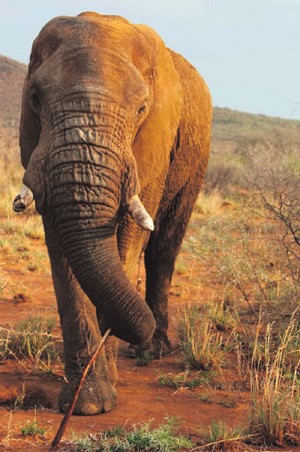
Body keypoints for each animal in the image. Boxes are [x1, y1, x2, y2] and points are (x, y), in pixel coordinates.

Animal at [13, 12, 211, 414]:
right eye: (35, 98)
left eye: (141, 109)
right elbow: (62, 250)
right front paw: (87, 402)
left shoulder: (153, 146)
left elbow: (127, 241)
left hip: (194, 161)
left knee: (163, 249)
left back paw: (150, 351)